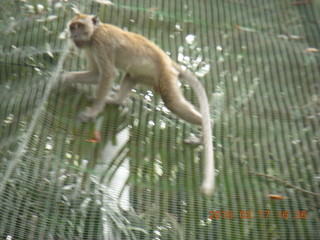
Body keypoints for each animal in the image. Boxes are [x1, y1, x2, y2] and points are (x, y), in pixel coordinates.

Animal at [62, 14, 215, 195]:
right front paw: (64, 77)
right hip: (148, 75)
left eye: (79, 26)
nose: (74, 36)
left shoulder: (102, 42)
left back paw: (205, 129)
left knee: (173, 103)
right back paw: (116, 100)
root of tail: (169, 61)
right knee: (131, 75)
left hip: (165, 76)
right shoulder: (90, 48)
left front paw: (93, 112)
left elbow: (107, 74)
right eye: (72, 27)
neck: (93, 34)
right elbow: (96, 74)